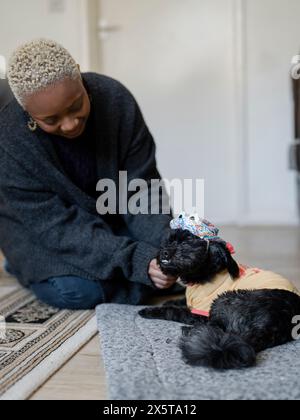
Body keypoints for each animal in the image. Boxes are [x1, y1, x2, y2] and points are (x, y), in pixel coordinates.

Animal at [140, 228, 300, 370]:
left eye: (186, 242)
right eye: (167, 242)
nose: (164, 252)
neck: (201, 274)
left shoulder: (200, 313)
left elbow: (174, 311)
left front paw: (150, 311)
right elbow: (182, 301)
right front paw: (171, 300)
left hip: (223, 299)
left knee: (216, 326)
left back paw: (190, 330)